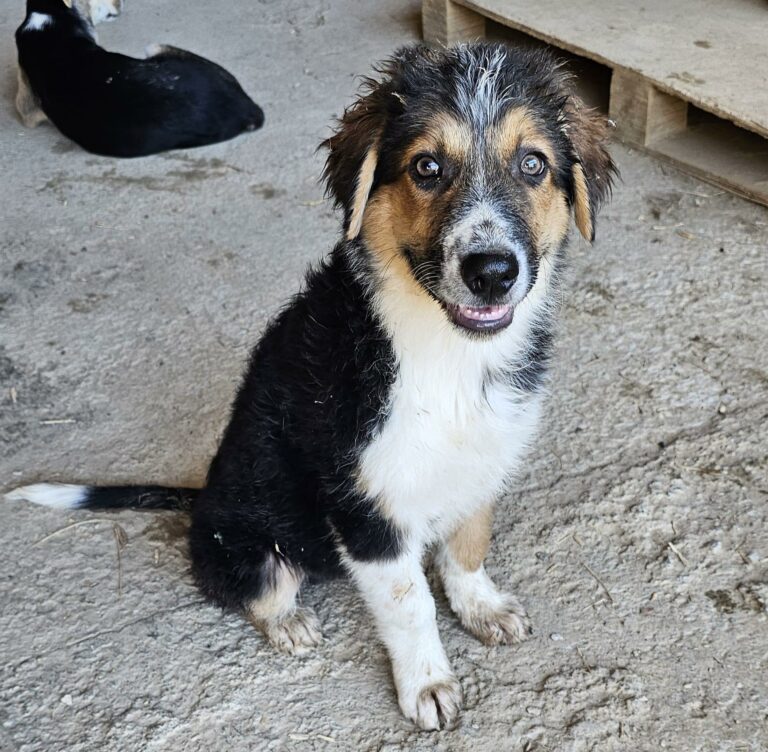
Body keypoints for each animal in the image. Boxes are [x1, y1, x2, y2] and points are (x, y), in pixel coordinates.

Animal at [7, 44, 616, 732]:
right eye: (427, 167)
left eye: (533, 164)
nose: (491, 272)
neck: (445, 355)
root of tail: (199, 500)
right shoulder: (364, 508)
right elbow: (410, 603)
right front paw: (428, 685)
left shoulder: (483, 460)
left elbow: (467, 546)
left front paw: (481, 607)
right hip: (250, 546)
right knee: (255, 589)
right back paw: (289, 622)